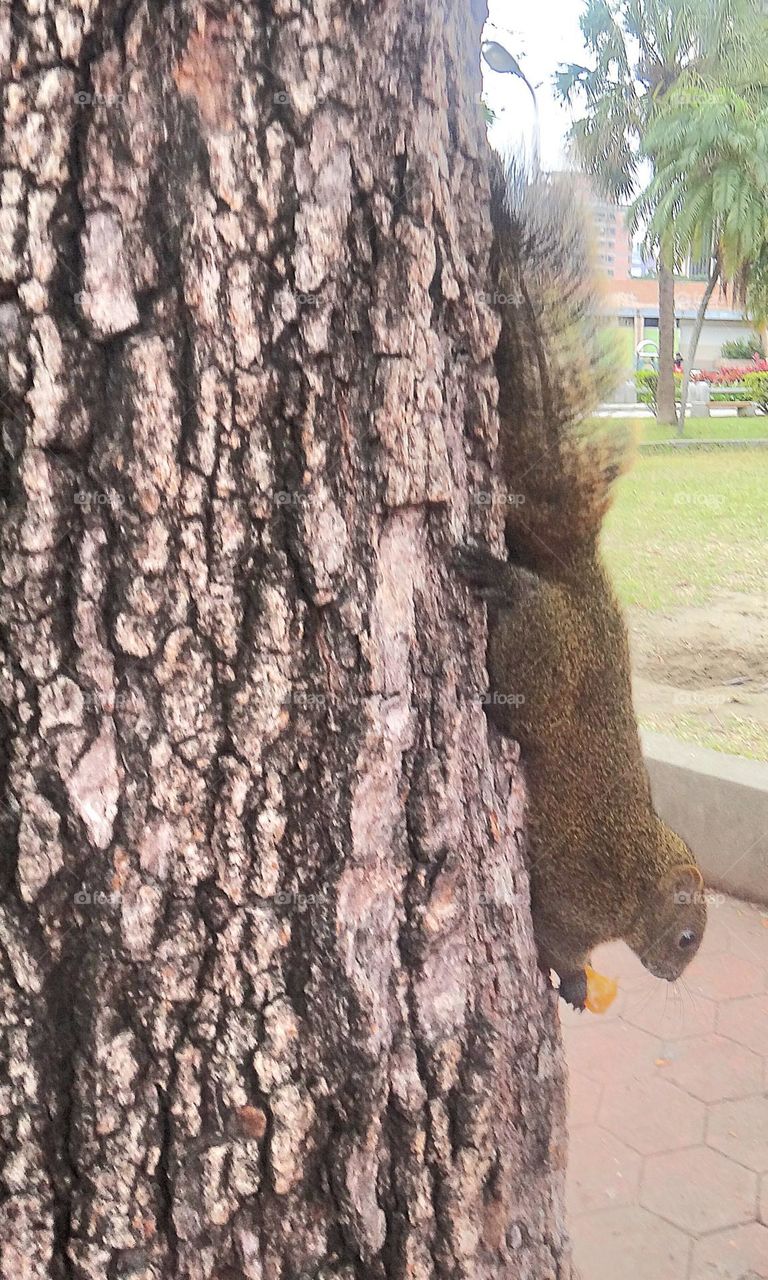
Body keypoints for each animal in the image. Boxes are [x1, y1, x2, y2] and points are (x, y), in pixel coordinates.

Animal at [455, 162, 706, 1008]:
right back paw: (506, 585)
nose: (671, 976)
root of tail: (582, 586)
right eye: (688, 937)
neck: (639, 879)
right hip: (544, 654)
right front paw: (568, 979)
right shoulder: (574, 892)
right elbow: (553, 933)